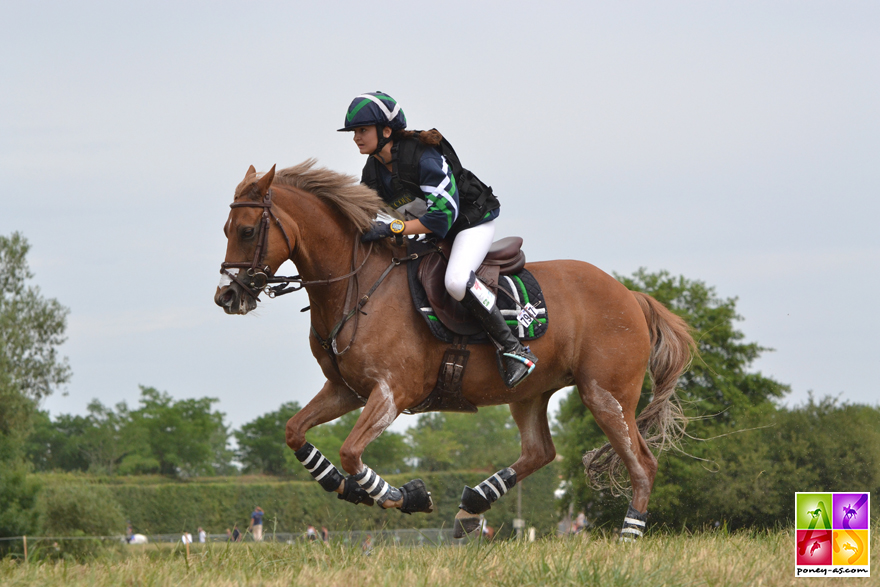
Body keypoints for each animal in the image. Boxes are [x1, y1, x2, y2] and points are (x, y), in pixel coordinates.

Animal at [215, 162, 696, 544]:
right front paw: (345, 486)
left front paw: (405, 496)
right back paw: (472, 504)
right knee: (540, 452)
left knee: (642, 464)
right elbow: (295, 432)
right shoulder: (346, 389)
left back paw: (629, 535)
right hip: (529, 393)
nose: (226, 297)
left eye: (247, 231)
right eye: (226, 230)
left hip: (605, 393)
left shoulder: (392, 392)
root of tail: (631, 295)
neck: (356, 285)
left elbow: (352, 451)